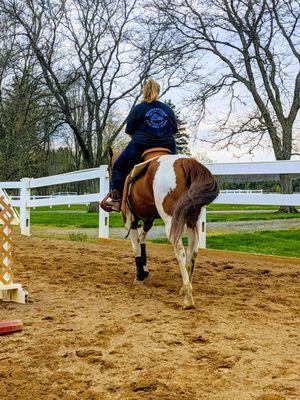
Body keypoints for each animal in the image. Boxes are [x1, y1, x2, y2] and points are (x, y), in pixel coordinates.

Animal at [107, 148, 218, 308]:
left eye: (109, 169)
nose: (112, 195)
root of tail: (185, 162)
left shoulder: (129, 219)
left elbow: (135, 247)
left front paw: (139, 277)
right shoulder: (148, 219)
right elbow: (141, 240)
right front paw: (144, 272)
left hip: (171, 221)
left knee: (180, 251)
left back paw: (188, 298)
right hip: (193, 220)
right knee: (193, 251)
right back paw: (185, 288)